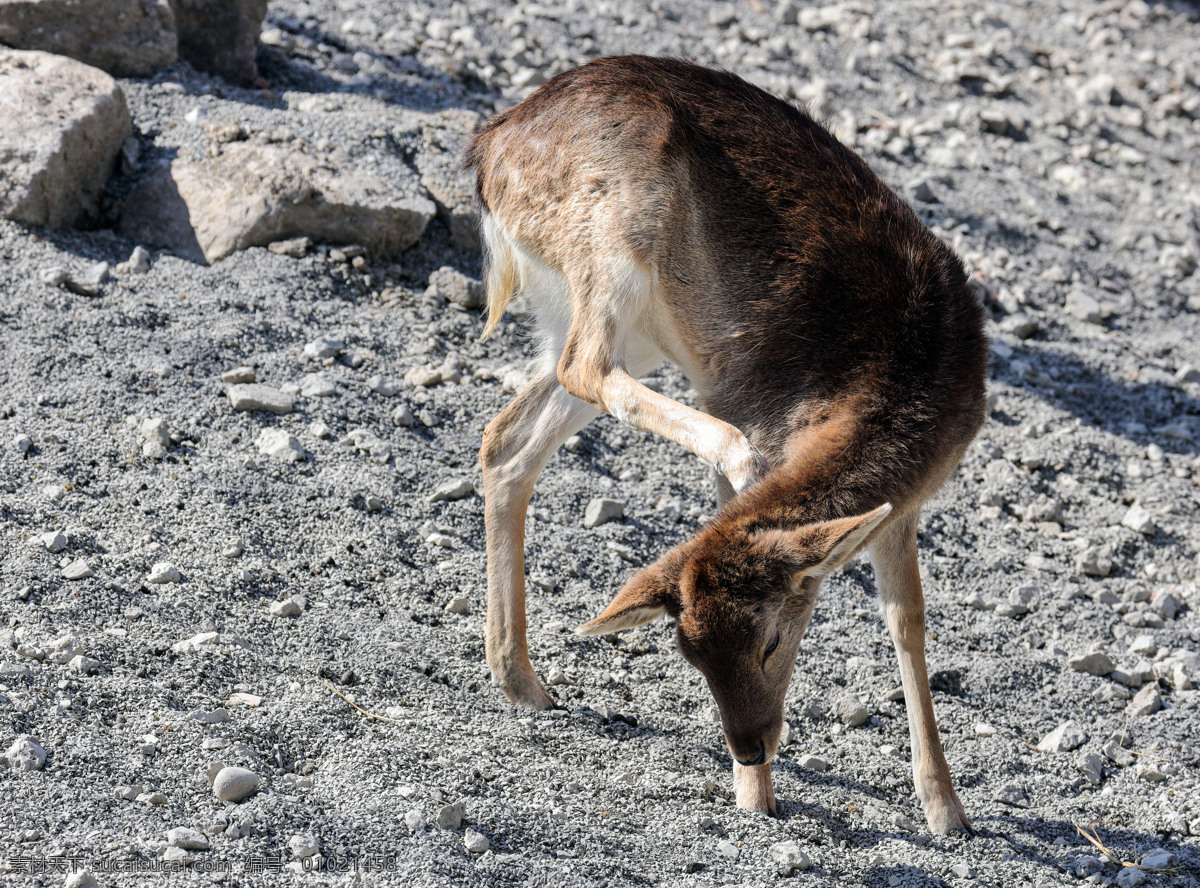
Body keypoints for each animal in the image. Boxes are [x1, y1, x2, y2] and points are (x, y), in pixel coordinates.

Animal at [466, 56, 987, 834]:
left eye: (771, 641)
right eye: (690, 656)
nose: (747, 748)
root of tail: (489, 152)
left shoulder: (907, 504)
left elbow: (908, 622)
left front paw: (946, 809)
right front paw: (758, 797)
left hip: (618, 317)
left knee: (508, 436)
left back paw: (522, 680)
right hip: (619, 229)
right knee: (585, 367)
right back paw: (733, 448)